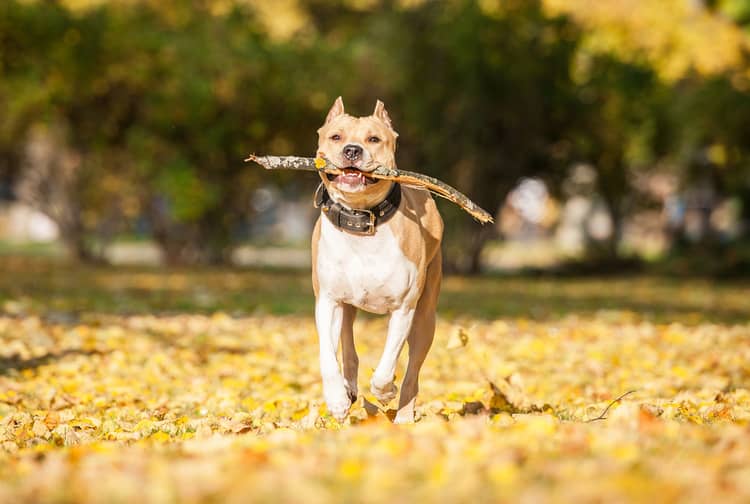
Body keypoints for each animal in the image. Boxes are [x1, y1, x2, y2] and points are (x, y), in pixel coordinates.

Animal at [312, 96, 446, 424]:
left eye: (374, 139)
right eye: (336, 137)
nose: (352, 150)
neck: (361, 220)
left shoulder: (404, 308)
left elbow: (387, 365)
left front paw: (384, 390)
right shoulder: (328, 301)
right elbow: (327, 356)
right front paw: (336, 399)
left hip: (426, 317)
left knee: (413, 371)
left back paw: (403, 415)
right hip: (346, 308)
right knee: (347, 346)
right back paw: (348, 390)